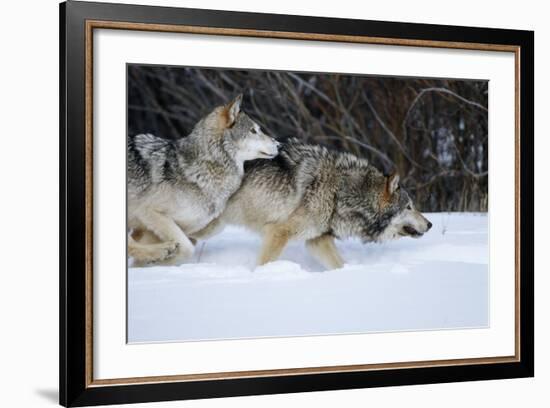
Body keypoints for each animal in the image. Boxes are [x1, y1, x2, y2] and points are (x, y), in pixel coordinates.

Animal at [128, 94, 280, 266]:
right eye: (253, 131)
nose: (279, 145)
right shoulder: (149, 212)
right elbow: (187, 249)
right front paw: (161, 262)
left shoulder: (153, 228)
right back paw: (163, 250)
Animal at [196, 139, 434, 270]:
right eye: (409, 207)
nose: (430, 224)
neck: (341, 192)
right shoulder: (278, 232)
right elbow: (264, 263)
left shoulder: (318, 240)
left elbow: (339, 264)